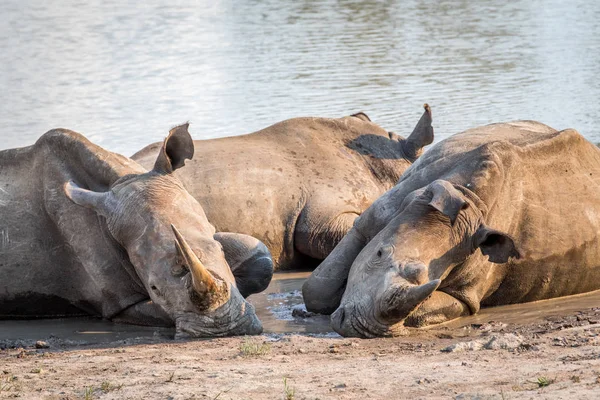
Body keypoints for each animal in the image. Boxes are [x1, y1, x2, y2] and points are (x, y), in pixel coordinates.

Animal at [0, 124, 272, 338]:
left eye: (220, 252)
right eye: (153, 288)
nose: (225, 328)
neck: (122, 180)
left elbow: (262, 259)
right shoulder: (121, 303)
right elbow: (162, 313)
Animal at [304, 119, 600, 338]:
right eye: (378, 254)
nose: (359, 327)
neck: (469, 198)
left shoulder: (467, 291)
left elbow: (434, 307)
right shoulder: (370, 220)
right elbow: (317, 290)